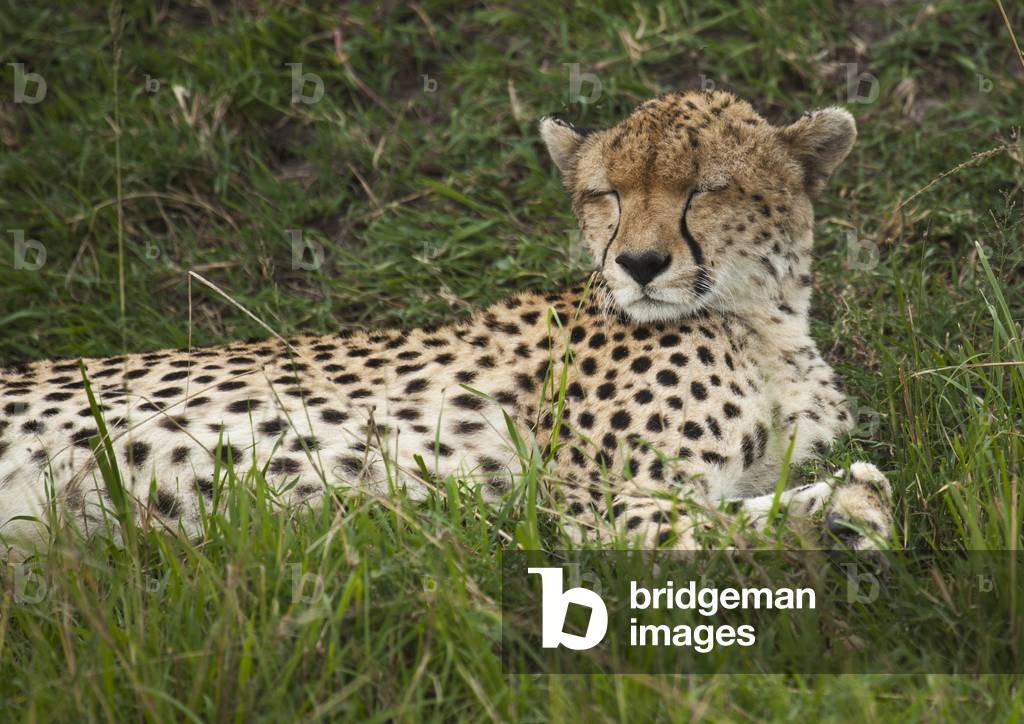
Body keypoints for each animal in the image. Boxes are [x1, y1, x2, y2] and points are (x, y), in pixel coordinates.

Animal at [0, 89, 894, 557]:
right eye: (604, 194)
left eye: (705, 189)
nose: (639, 265)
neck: (759, 320)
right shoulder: (591, 502)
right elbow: (717, 528)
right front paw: (841, 517)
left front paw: (843, 507)